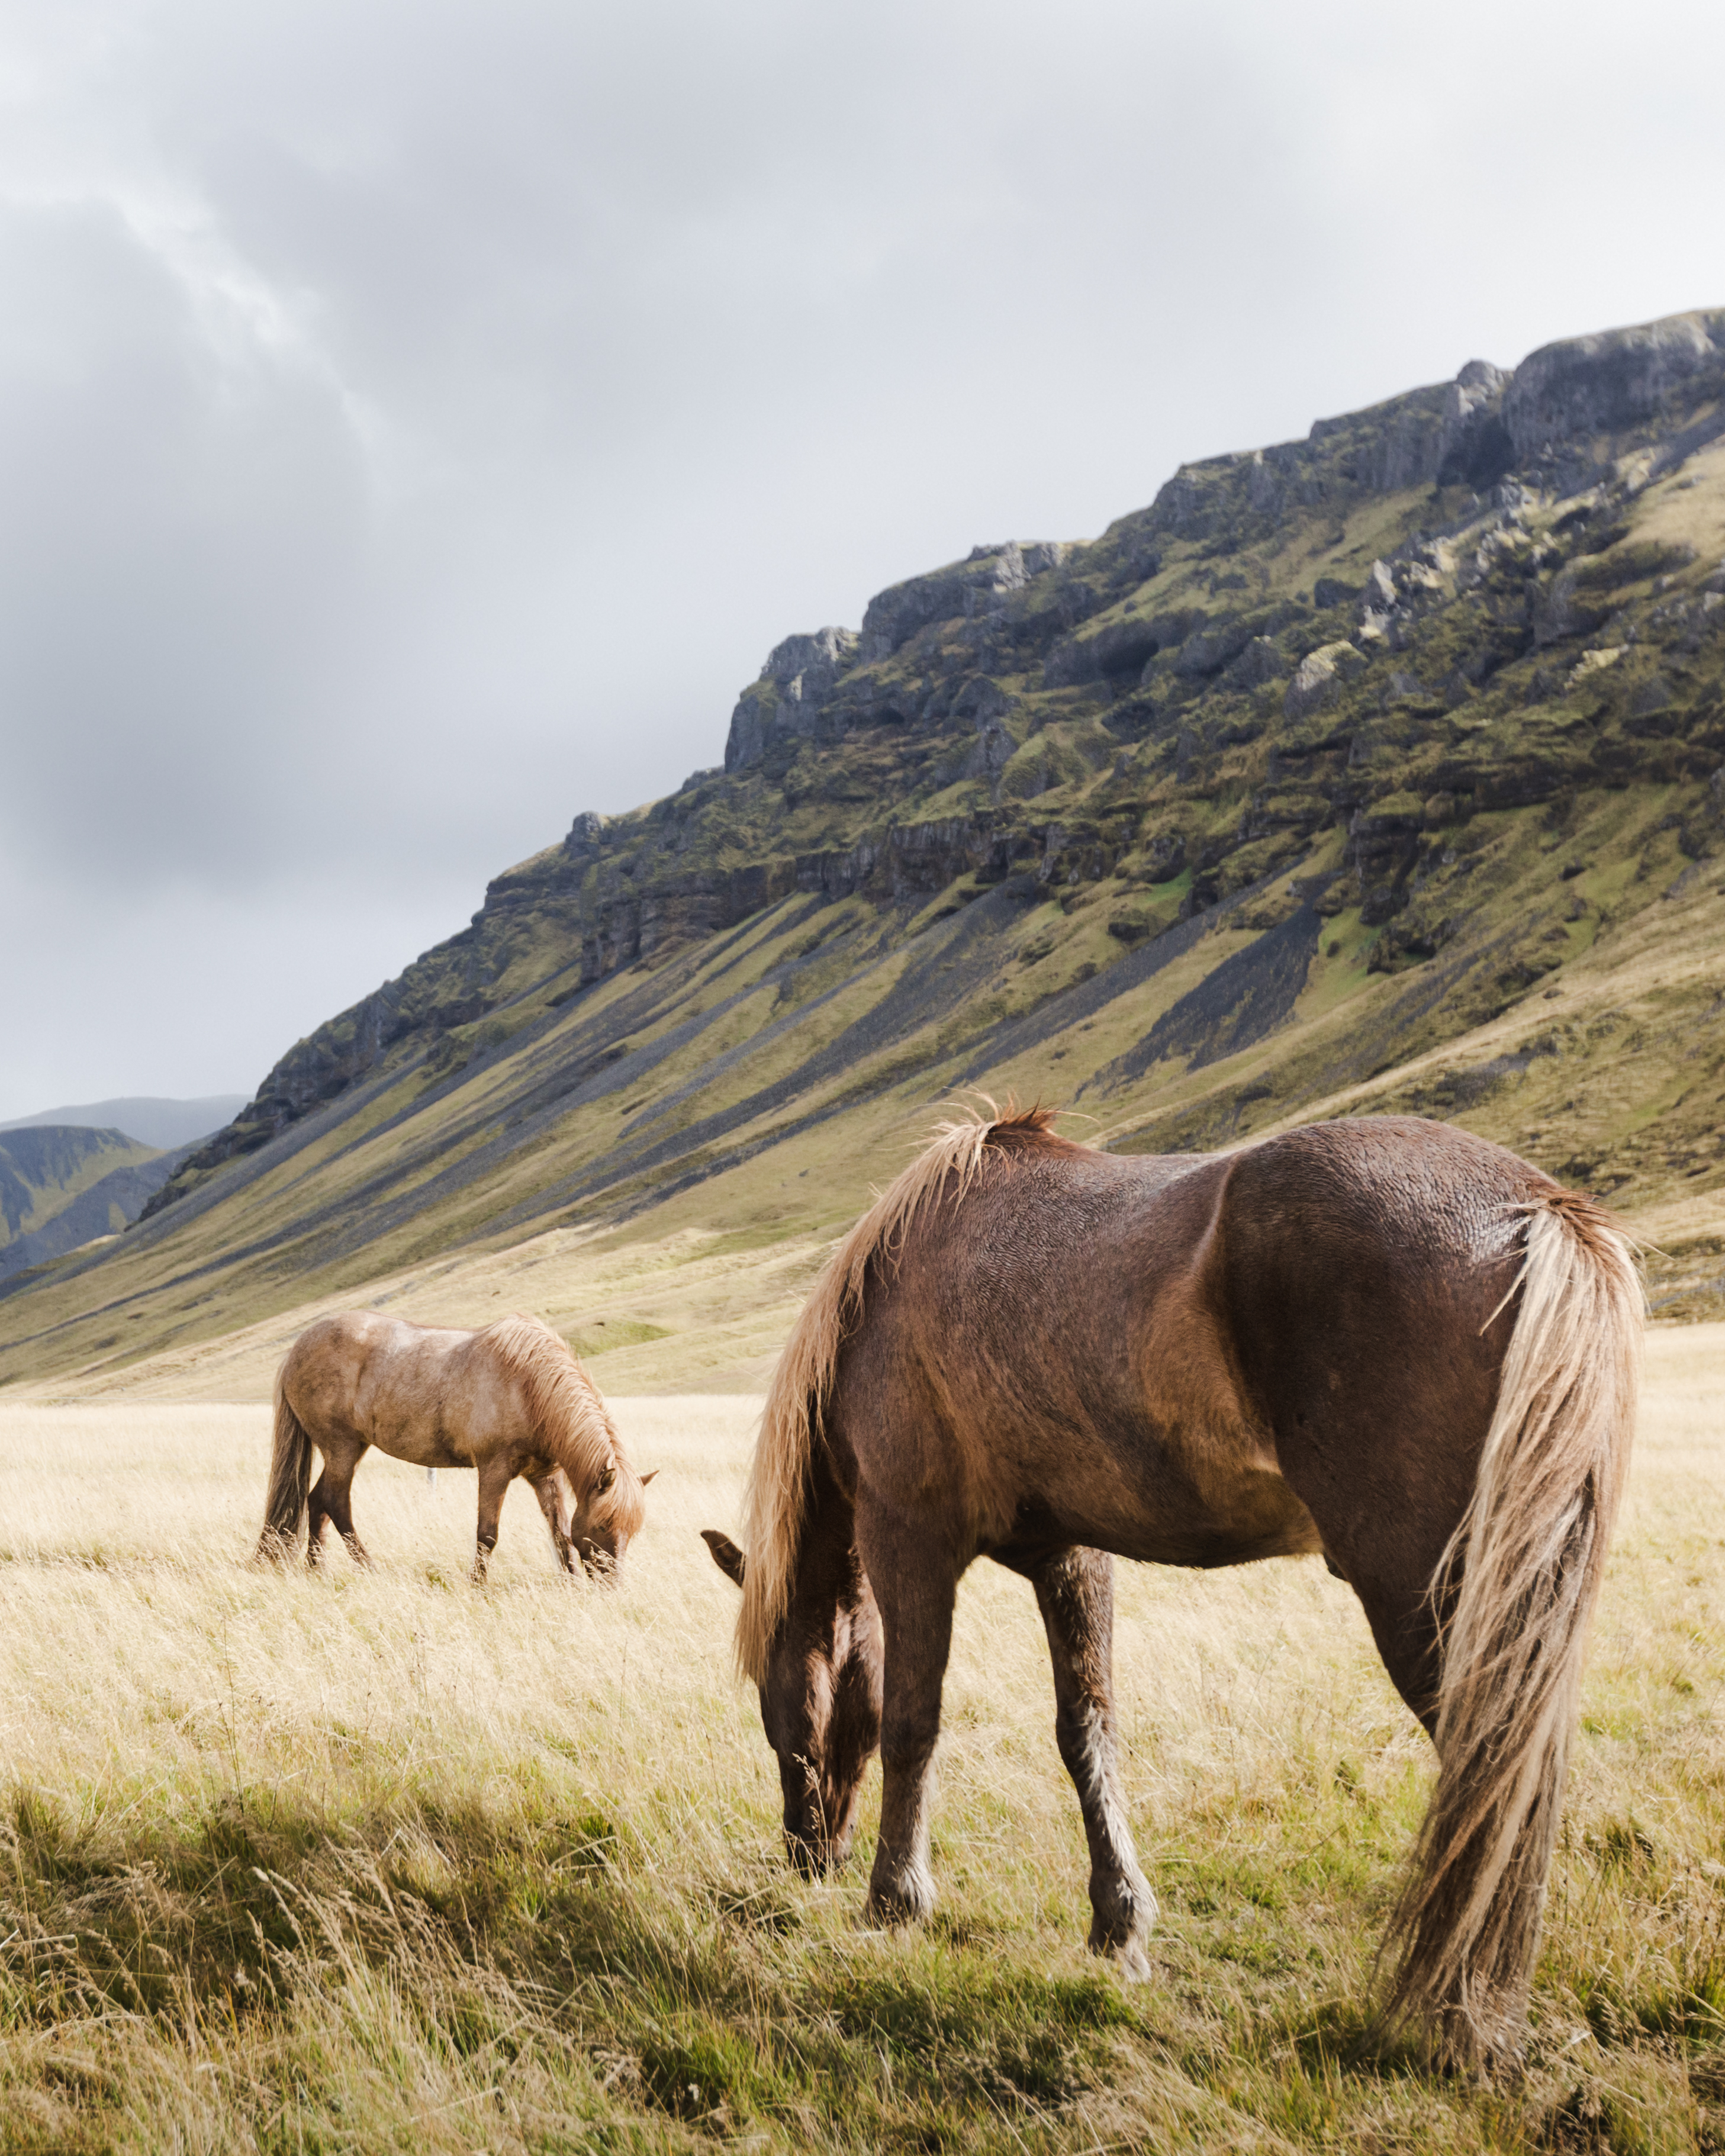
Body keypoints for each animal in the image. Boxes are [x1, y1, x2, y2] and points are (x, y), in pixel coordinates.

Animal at [258, 1293, 655, 1587]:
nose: (610, 1585)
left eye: (632, 1530)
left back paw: (316, 1569)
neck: (529, 1386)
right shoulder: (494, 1470)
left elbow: (560, 1531)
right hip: (342, 1448)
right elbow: (488, 1534)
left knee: (317, 1501)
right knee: (336, 1503)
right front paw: (477, 1585)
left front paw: (570, 1582)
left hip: (348, 1450)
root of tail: (297, 1350)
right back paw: (368, 1568)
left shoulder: (545, 1476)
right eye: (604, 1525)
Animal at [703, 1112, 1647, 2070]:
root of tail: (1537, 1206)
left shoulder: (911, 1539)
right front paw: (1118, 1923)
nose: (806, 1855)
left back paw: (1465, 2016)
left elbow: (910, 1725)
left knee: (1487, 1777)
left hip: (1424, 1602)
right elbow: (1086, 1731)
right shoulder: (1069, 1555)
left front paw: (894, 1902)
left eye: (771, 1701)